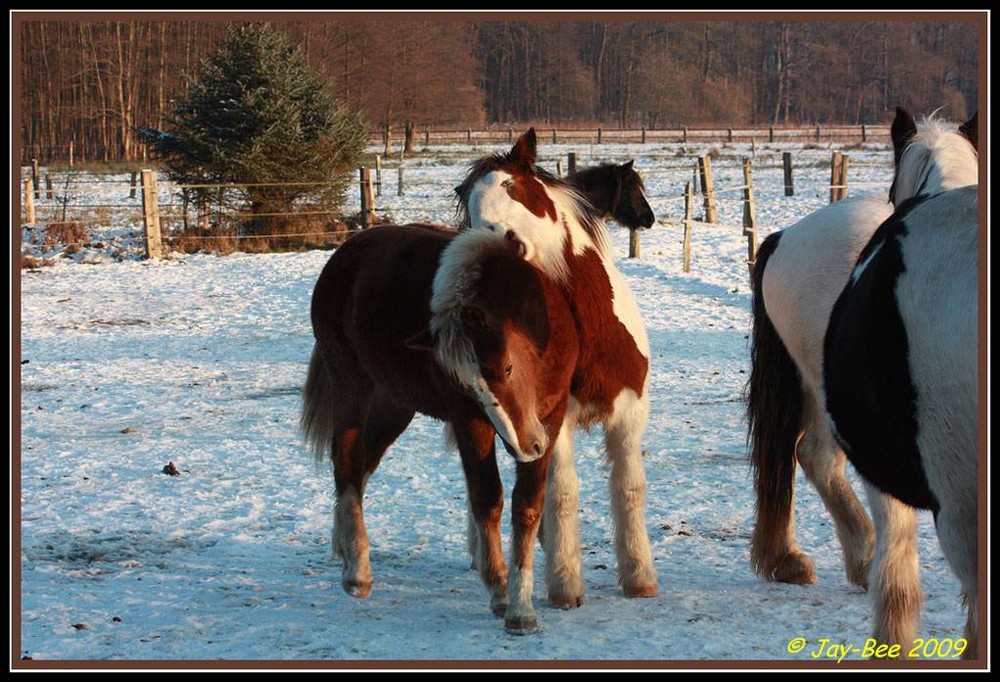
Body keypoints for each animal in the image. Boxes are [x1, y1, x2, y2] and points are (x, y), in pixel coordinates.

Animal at [298, 223, 580, 632]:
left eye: (508, 368)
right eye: (468, 387)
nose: (525, 447)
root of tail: (343, 254)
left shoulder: (552, 417)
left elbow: (528, 505)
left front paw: (523, 607)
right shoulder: (470, 420)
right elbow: (487, 497)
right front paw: (501, 592)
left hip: (394, 403)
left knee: (363, 463)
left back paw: (343, 545)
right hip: (351, 383)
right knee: (347, 462)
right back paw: (357, 571)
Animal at [456, 130, 660, 608]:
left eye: (512, 187)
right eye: (465, 199)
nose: (490, 245)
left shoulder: (630, 413)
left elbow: (629, 486)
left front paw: (640, 575)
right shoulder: (556, 421)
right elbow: (563, 492)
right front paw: (565, 583)